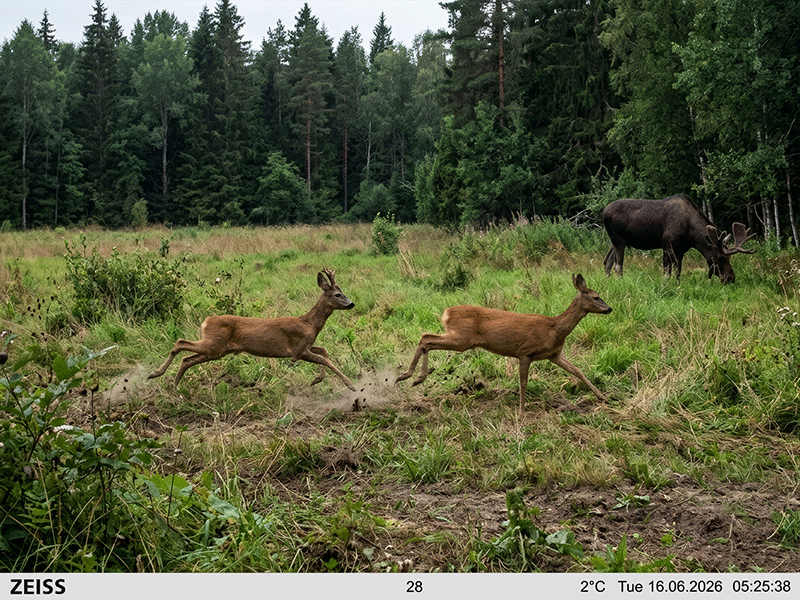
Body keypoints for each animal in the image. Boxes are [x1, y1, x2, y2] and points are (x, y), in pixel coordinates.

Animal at [148, 268, 357, 391]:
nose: (351, 304)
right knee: (180, 343)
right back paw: (156, 374)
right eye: (338, 294)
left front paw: (316, 380)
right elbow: (325, 359)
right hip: (213, 344)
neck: (310, 324)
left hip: (216, 350)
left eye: (343, 292)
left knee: (187, 359)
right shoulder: (298, 349)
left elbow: (324, 351)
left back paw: (174, 385)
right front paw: (351, 385)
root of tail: (206, 321)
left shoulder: (306, 347)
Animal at [395, 274, 612, 411]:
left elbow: (578, 371)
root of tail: (446, 312)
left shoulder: (554, 354)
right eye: (596, 297)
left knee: (426, 338)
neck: (554, 329)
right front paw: (521, 412)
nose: (609, 309)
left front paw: (603, 397)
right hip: (462, 338)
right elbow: (523, 382)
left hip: (460, 338)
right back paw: (410, 376)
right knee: (426, 338)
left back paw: (414, 377)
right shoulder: (525, 352)